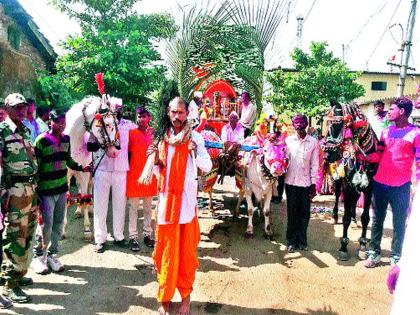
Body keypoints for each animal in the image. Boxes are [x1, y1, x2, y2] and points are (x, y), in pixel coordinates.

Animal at [64, 95, 120, 241]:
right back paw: (78, 211)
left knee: (89, 188)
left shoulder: (85, 172)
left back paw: (90, 209)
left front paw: (87, 230)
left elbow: (85, 196)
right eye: (107, 124)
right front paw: (63, 229)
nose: (115, 151)